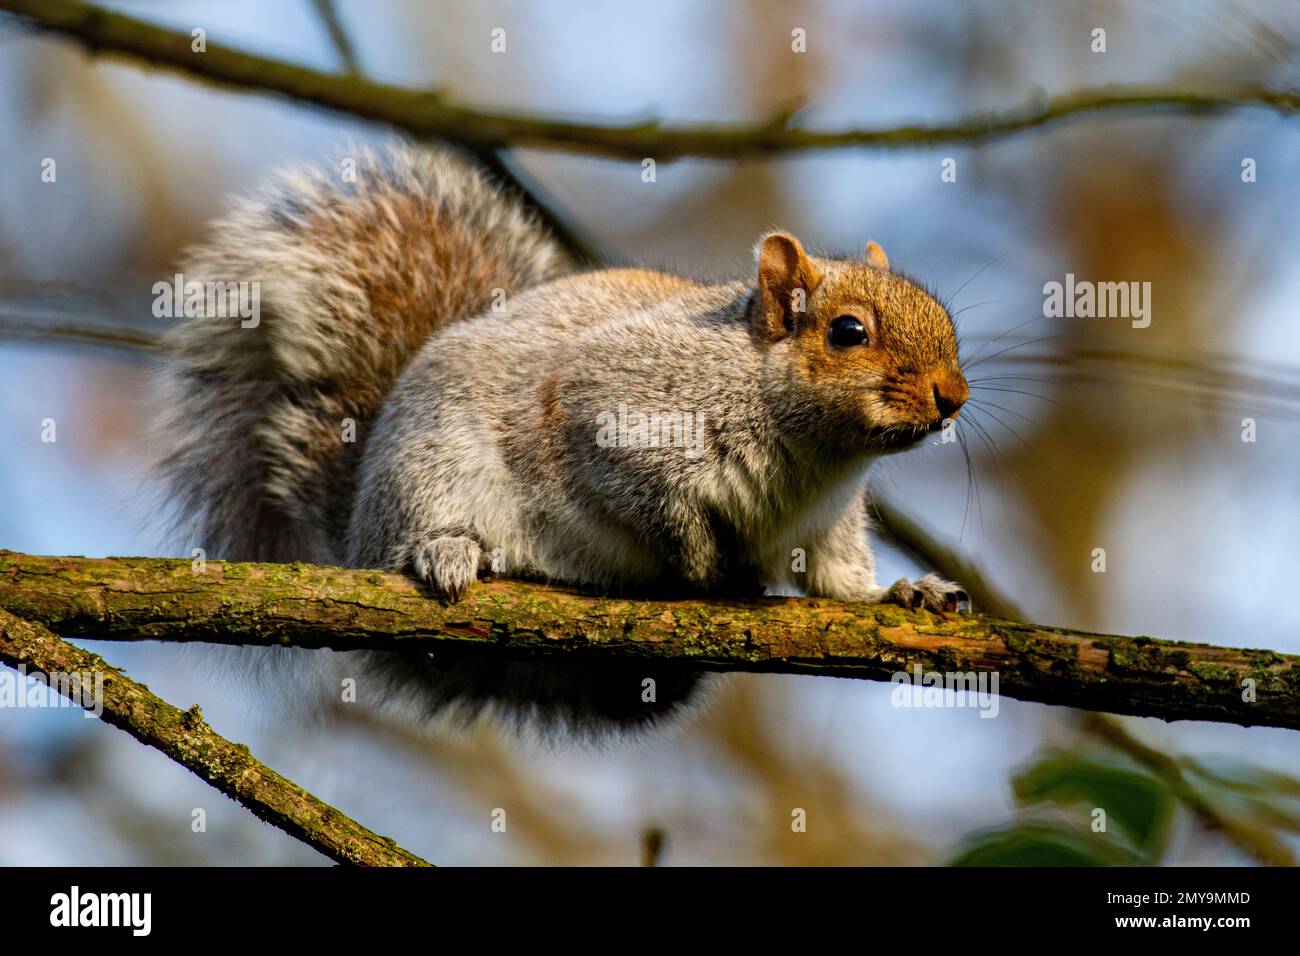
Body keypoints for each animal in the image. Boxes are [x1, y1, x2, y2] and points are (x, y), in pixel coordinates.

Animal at [149, 141, 967, 733]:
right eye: (848, 332)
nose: (953, 398)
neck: (814, 454)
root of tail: (352, 526)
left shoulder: (824, 523)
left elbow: (838, 581)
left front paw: (903, 591)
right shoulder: (614, 413)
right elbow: (651, 502)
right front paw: (705, 564)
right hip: (429, 467)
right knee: (405, 541)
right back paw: (447, 550)